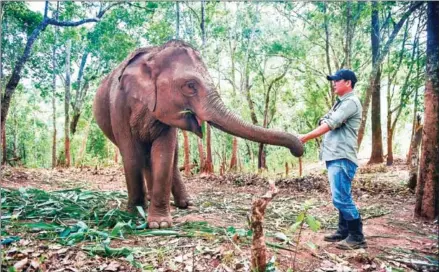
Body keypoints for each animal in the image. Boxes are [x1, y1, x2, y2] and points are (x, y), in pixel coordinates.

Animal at [94, 39, 304, 228]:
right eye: (190, 85)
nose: (299, 149)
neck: (154, 54)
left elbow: (164, 155)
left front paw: (159, 223)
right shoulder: (118, 107)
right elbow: (130, 155)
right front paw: (135, 215)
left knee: (169, 158)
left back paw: (184, 204)